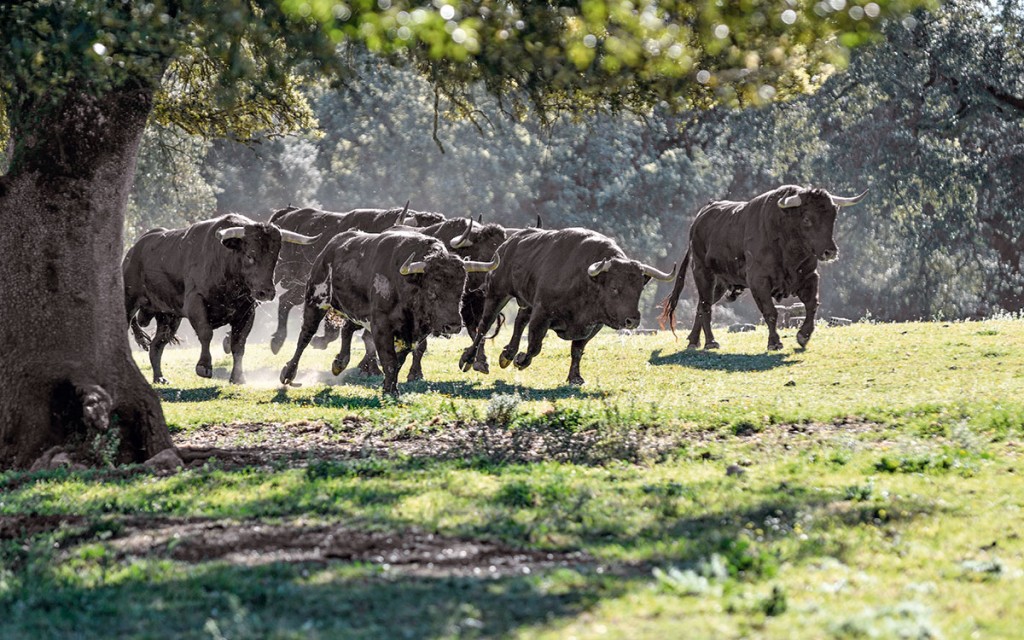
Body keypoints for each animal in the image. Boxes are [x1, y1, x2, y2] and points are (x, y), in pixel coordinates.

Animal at [127, 215, 319, 385]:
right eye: (250, 255)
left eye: (275, 258)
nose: (266, 292)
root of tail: (135, 249)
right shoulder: (195, 303)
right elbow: (206, 333)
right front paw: (204, 366)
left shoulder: (247, 312)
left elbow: (238, 343)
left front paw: (238, 377)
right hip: (130, 301)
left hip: (169, 317)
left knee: (156, 346)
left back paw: (159, 378)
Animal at [278, 227, 501, 391]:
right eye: (432, 291)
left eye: (460, 291)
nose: (453, 326)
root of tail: (329, 249)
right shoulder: (382, 326)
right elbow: (389, 359)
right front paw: (390, 389)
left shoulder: (411, 334)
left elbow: (399, 360)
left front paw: (389, 387)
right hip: (315, 301)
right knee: (305, 336)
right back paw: (288, 374)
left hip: (355, 313)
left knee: (347, 329)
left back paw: (339, 363)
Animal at [460, 226, 675, 380]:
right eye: (615, 287)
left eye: (639, 288)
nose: (632, 320)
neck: (587, 280)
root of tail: (508, 244)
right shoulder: (542, 313)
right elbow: (534, 345)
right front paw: (520, 361)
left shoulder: (593, 326)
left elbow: (577, 350)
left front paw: (575, 377)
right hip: (497, 294)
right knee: (483, 327)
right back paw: (470, 360)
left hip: (526, 302)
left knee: (519, 321)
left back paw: (506, 355)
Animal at [659, 184, 868, 350]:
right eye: (807, 219)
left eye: (833, 217)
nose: (829, 252)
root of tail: (699, 220)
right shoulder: (759, 282)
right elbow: (771, 312)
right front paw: (774, 342)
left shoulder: (809, 277)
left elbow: (811, 304)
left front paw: (803, 336)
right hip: (703, 273)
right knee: (705, 306)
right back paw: (710, 342)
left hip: (719, 284)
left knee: (703, 306)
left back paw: (693, 341)